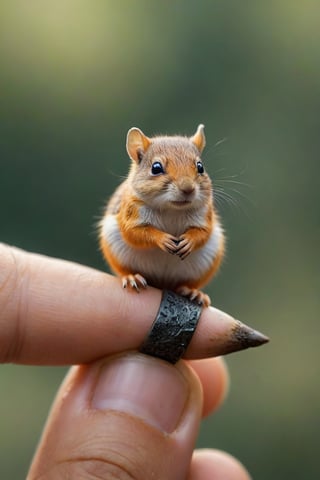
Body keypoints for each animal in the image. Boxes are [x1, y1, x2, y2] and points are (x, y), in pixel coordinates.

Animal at [99, 122, 225, 306]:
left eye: (200, 167)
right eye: (156, 168)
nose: (188, 188)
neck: (171, 209)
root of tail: (161, 283)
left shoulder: (204, 214)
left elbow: (203, 232)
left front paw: (189, 241)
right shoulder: (131, 212)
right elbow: (134, 233)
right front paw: (163, 239)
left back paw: (193, 291)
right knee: (124, 270)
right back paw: (132, 277)